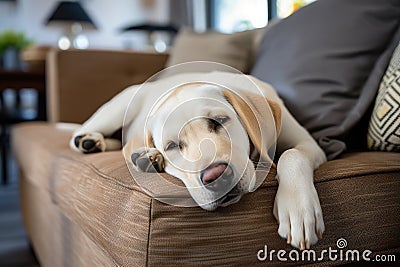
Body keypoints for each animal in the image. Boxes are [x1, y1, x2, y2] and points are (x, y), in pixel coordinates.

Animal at [71, 72, 328, 250]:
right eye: (172, 146)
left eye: (219, 121)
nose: (216, 177)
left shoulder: (309, 144)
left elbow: (292, 154)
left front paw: (298, 207)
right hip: (115, 112)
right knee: (79, 136)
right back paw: (99, 142)